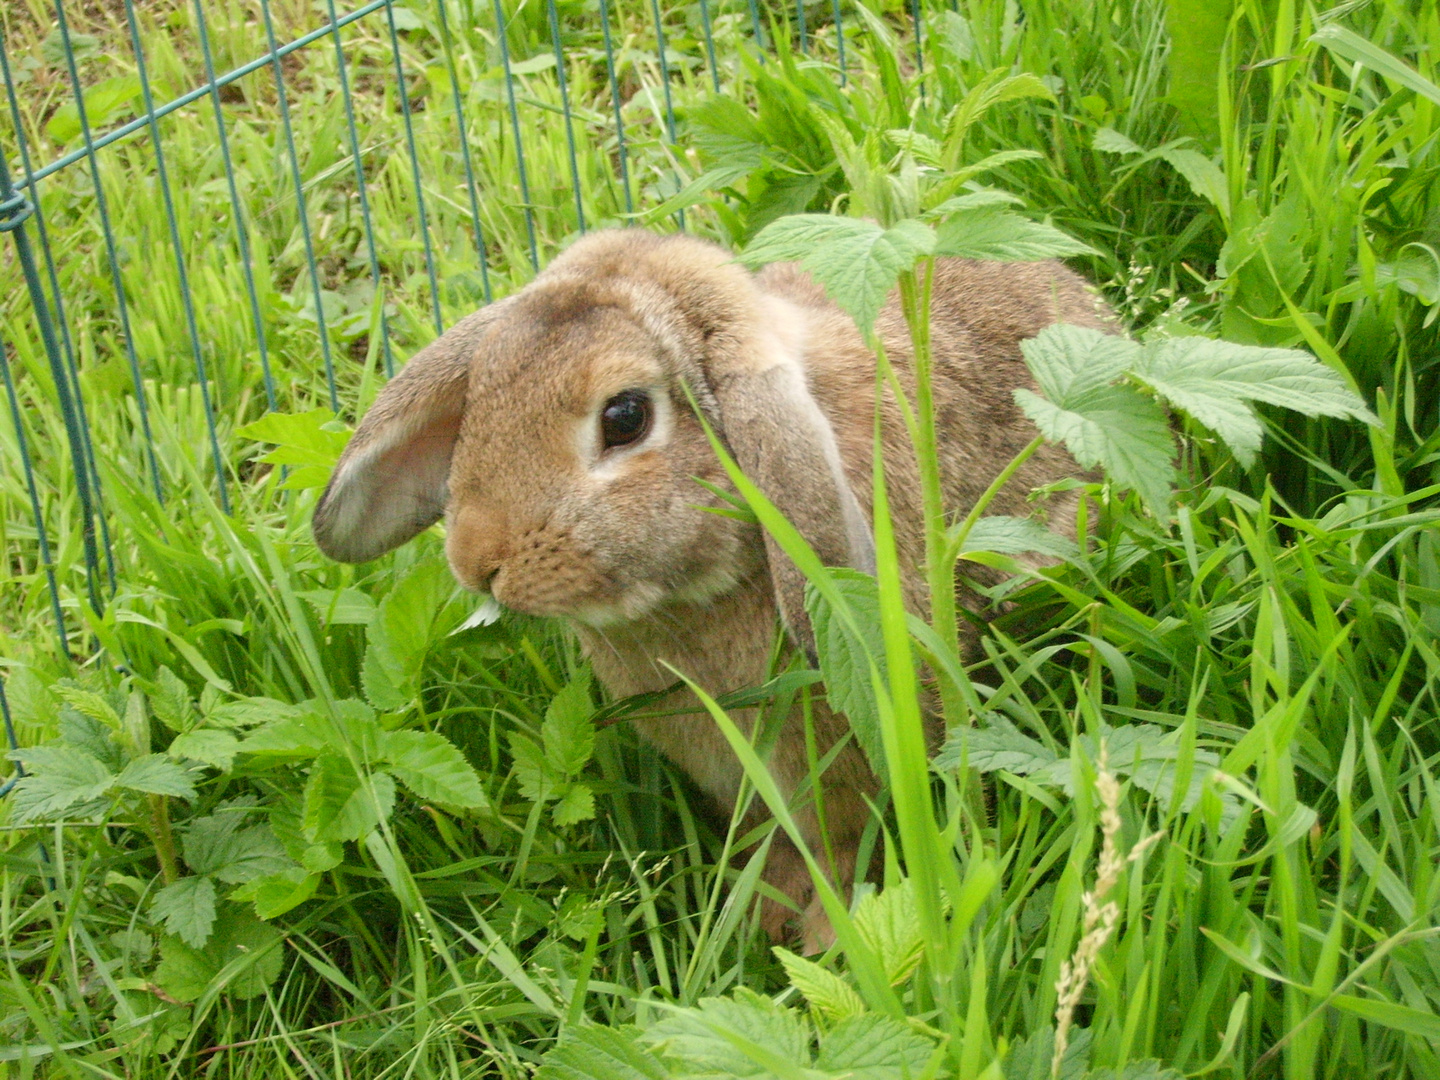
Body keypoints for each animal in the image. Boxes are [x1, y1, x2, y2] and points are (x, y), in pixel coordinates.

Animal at [312, 228, 1111, 944]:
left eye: (625, 416)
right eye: (479, 399)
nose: (479, 558)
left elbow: (848, 849)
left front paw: (823, 939)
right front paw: (759, 910)